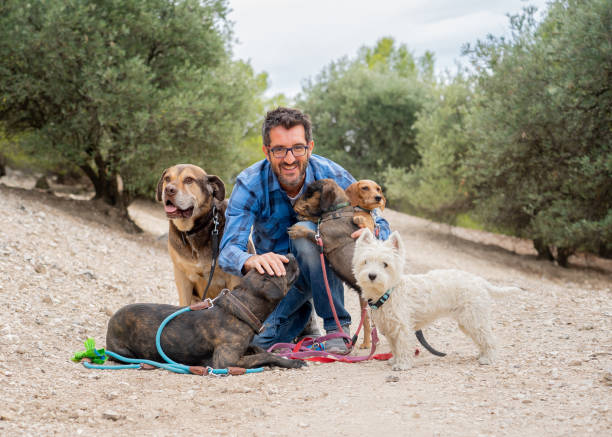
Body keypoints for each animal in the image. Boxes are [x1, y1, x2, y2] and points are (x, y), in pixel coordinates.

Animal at [107, 254, 306, 370]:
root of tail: (111, 323)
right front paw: (292, 361)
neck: (243, 307)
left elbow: (259, 349)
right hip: (124, 352)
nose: (290, 254)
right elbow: (265, 354)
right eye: (281, 265)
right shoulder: (226, 361)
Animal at [157, 164, 240, 306]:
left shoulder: (234, 279)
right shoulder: (181, 275)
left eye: (189, 180)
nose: (168, 190)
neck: (194, 230)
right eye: (167, 178)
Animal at [352, 228, 520, 368]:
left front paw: (402, 365)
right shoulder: (391, 329)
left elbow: (403, 347)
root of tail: (480, 281)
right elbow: (394, 347)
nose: (372, 275)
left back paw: (488, 359)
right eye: (365, 261)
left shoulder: (402, 327)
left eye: (385, 264)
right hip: (468, 322)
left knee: (489, 339)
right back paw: (482, 355)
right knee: (482, 339)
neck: (388, 293)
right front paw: (394, 360)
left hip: (474, 319)